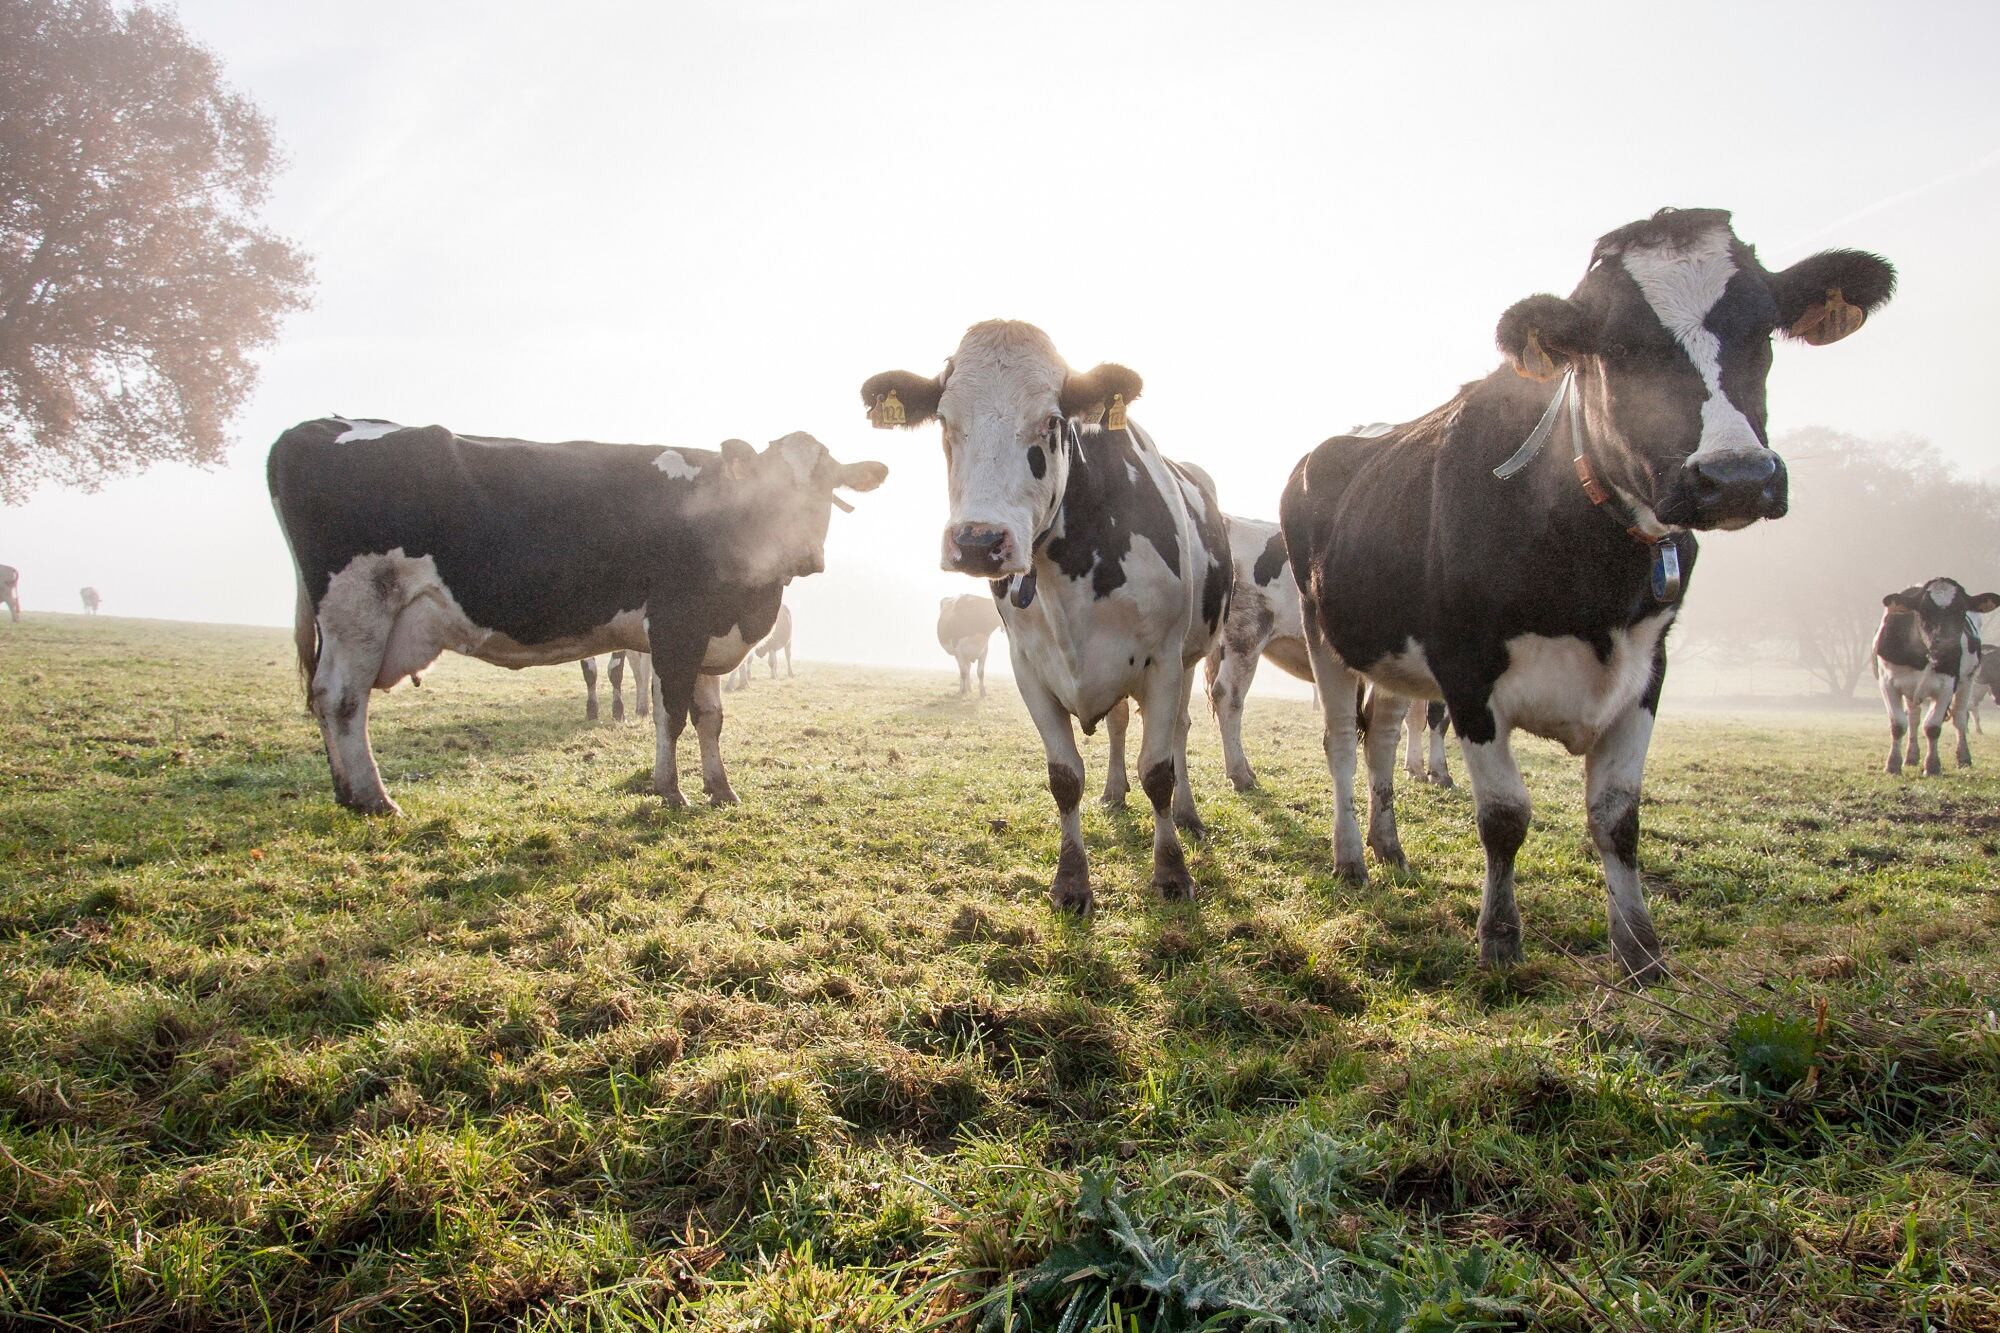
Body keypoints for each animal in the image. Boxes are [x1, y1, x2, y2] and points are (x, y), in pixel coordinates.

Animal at [268, 419, 886, 815]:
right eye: (769, 488)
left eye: (827, 487)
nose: (804, 555)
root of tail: (318, 426)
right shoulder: (675, 628)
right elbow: (672, 716)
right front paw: (671, 791)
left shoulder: (709, 635)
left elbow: (711, 719)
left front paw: (722, 790)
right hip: (358, 606)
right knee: (341, 699)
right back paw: (372, 799)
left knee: (330, 700)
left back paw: (347, 792)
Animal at [862, 320, 1231, 910]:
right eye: (944, 421)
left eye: (1052, 421)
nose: (978, 542)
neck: (1073, 568)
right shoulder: (1028, 666)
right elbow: (1064, 778)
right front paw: (1072, 881)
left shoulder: (1163, 661)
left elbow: (1159, 772)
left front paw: (1172, 872)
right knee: (1120, 724)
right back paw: (1113, 792)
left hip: (1193, 654)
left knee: (1177, 731)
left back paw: (1189, 816)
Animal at [1279, 207, 1895, 981]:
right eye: (1621, 346)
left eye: (1762, 330)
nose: (1736, 476)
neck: (1591, 568)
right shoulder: (1466, 668)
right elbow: (1505, 816)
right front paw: (1500, 939)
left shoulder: (1648, 667)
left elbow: (1617, 816)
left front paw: (1640, 950)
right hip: (1324, 632)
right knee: (1339, 741)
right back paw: (1351, 858)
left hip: (1394, 651)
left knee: (1382, 736)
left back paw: (1389, 847)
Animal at [1873, 578, 1998, 775]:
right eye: (1924, 611)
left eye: (1962, 611)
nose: (1949, 650)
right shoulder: (1887, 683)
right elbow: (1898, 725)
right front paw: (1892, 765)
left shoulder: (1947, 686)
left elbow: (1932, 727)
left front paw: (1932, 766)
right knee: (1913, 718)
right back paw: (1911, 756)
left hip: (1968, 681)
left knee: (1960, 717)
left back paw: (1963, 758)